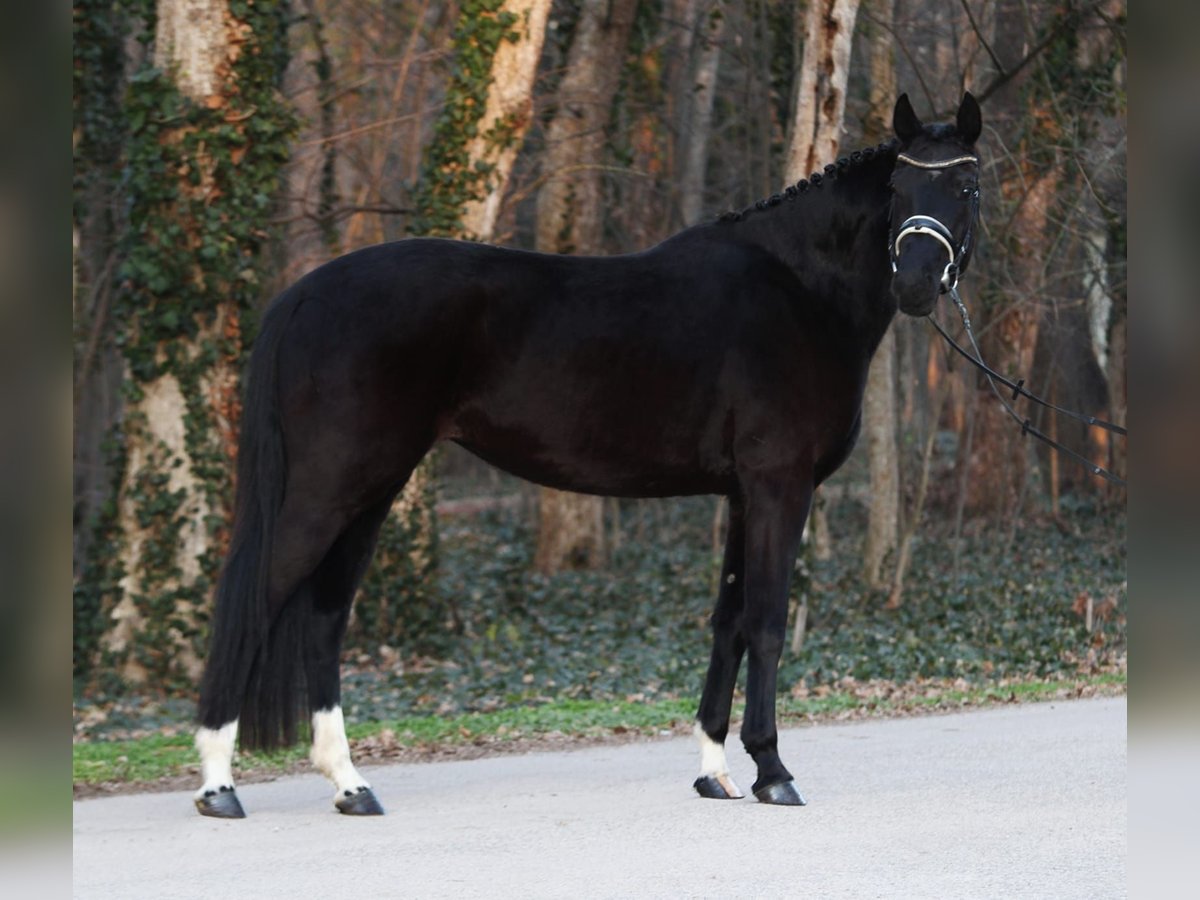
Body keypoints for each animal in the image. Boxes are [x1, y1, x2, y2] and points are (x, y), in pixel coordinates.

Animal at [192, 91, 984, 816]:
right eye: (898, 190)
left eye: (965, 189)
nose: (916, 283)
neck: (798, 289)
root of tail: (303, 294)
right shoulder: (779, 486)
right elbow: (765, 620)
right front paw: (772, 771)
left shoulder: (740, 493)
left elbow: (727, 623)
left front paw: (714, 773)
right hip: (330, 488)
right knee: (256, 600)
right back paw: (218, 785)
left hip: (371, 490)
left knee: (324, 618)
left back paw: (349, 784)